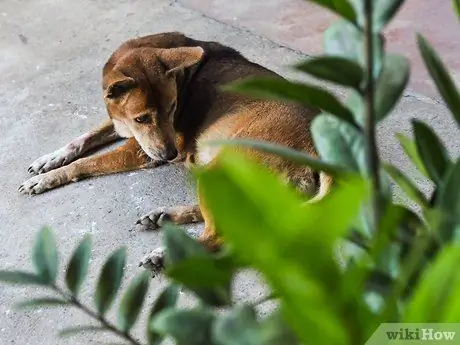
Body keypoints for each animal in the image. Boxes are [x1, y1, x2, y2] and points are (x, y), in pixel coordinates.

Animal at [18, 30, 330, 276]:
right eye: (142, 118)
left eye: (172, 108)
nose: (170, 156)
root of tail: (318, 151)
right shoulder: (122, 125)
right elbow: (83, 139)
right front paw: (49, 161)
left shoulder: (140, 150)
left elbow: (88, 162)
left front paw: (49, 178)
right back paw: (164, 216)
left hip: (224, 167)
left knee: (223, 237)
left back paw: (165, 255)